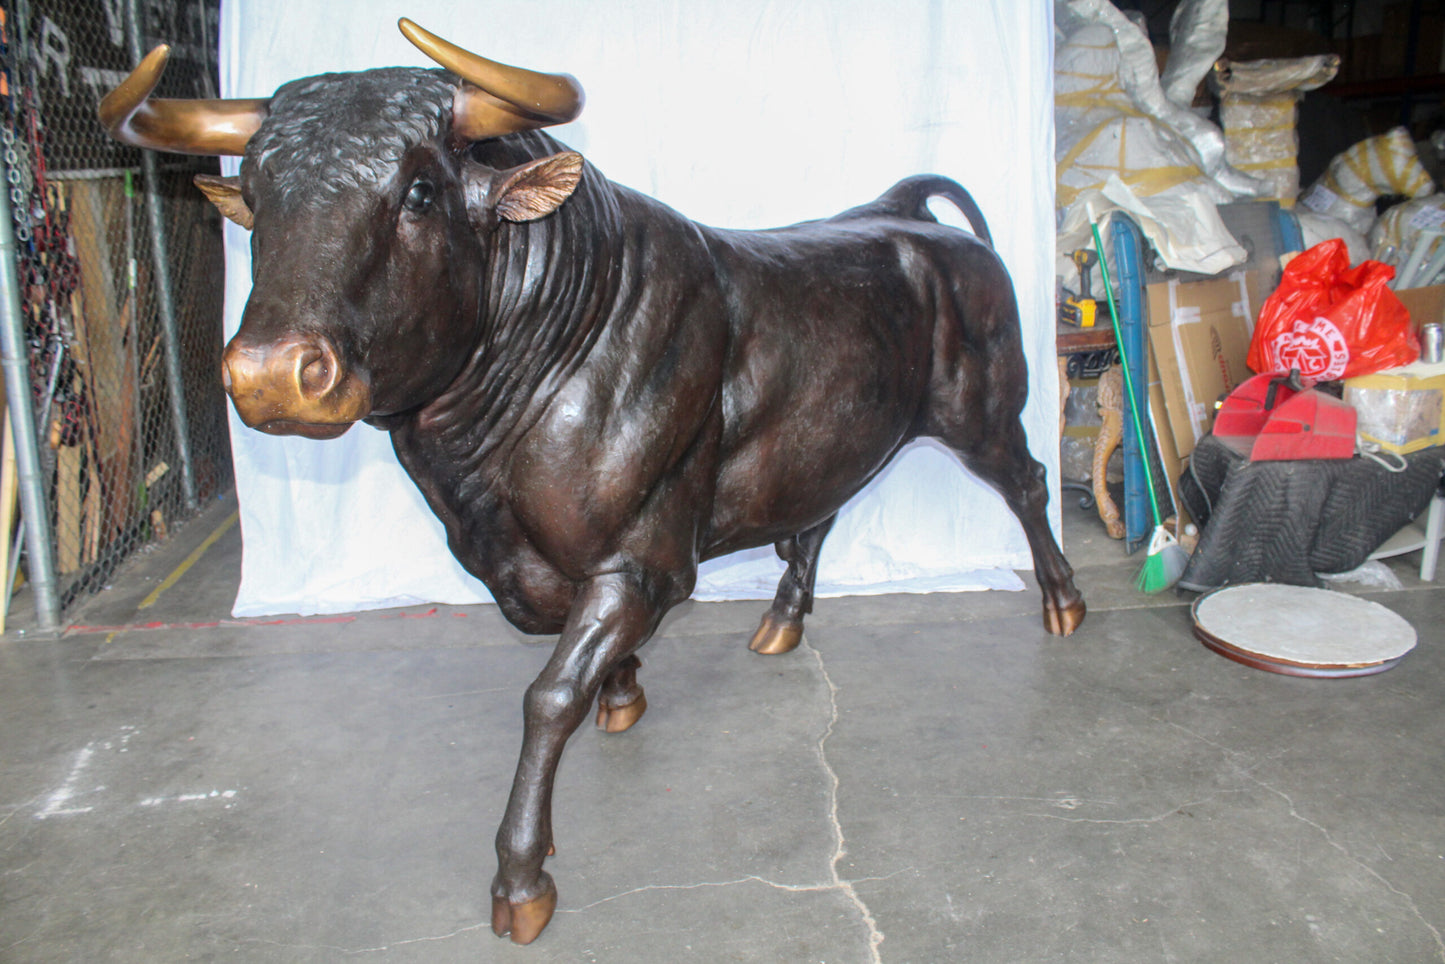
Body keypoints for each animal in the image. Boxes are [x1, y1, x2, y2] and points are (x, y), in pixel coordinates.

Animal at [101, 19, 1085, 944]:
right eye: (256, 199)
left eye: (419, 191)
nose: (271, 374)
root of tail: (906, 217)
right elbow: (581, 663)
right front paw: (623, 691)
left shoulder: (640, 559)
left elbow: (547, 696)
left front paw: (521, 878)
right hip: (840, 430)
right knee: (817, 514)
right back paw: (779, 622)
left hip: (983, 412)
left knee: (1028, 485)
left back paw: (1063, 604)